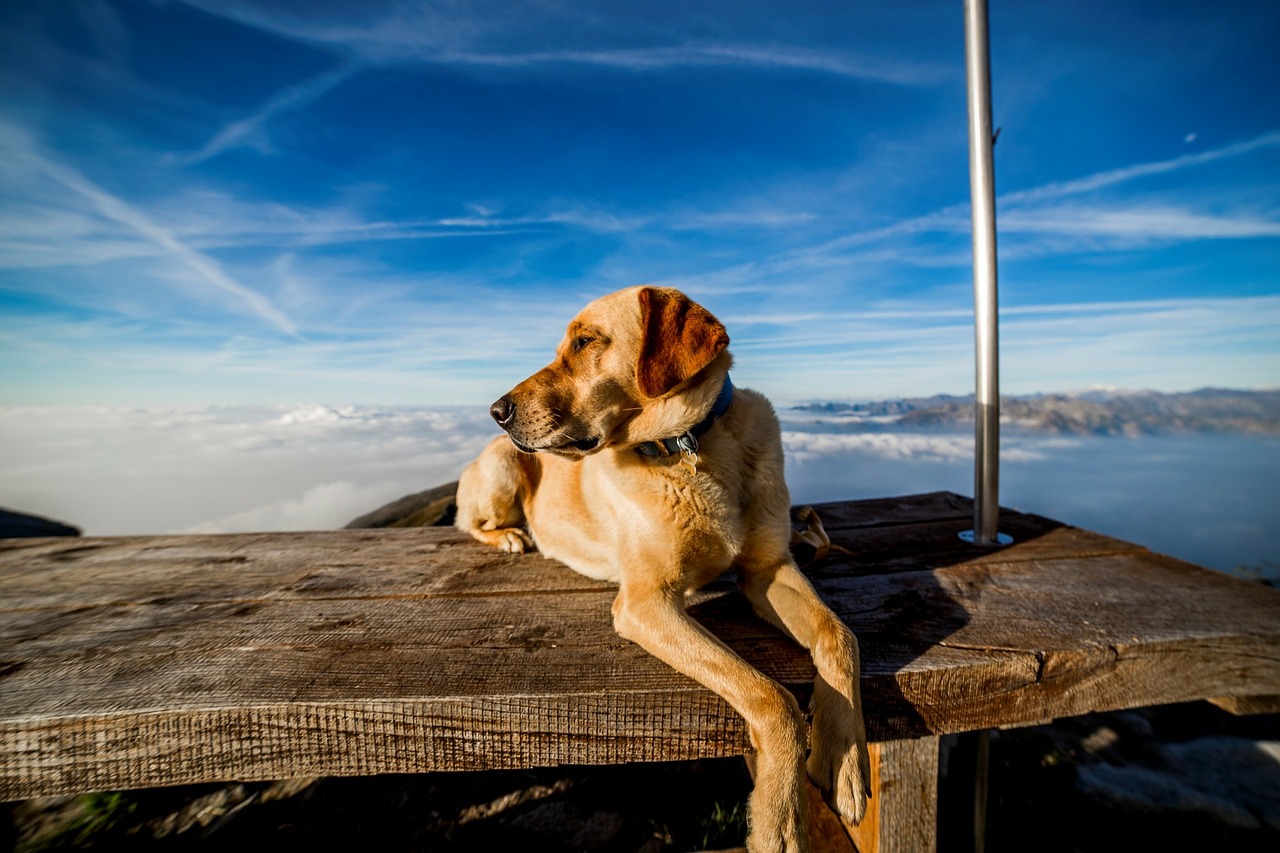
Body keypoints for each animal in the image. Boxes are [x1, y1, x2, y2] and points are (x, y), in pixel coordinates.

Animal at [453, 286, 870, 850]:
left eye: (584, 342)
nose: (497, 410)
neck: (688, 448)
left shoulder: (767, 569)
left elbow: (837, 634)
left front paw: (845, 761)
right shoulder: (645, 603)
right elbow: (771, 697)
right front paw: (780, 820)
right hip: (501, 468)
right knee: (471, 521)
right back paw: (511, 538)